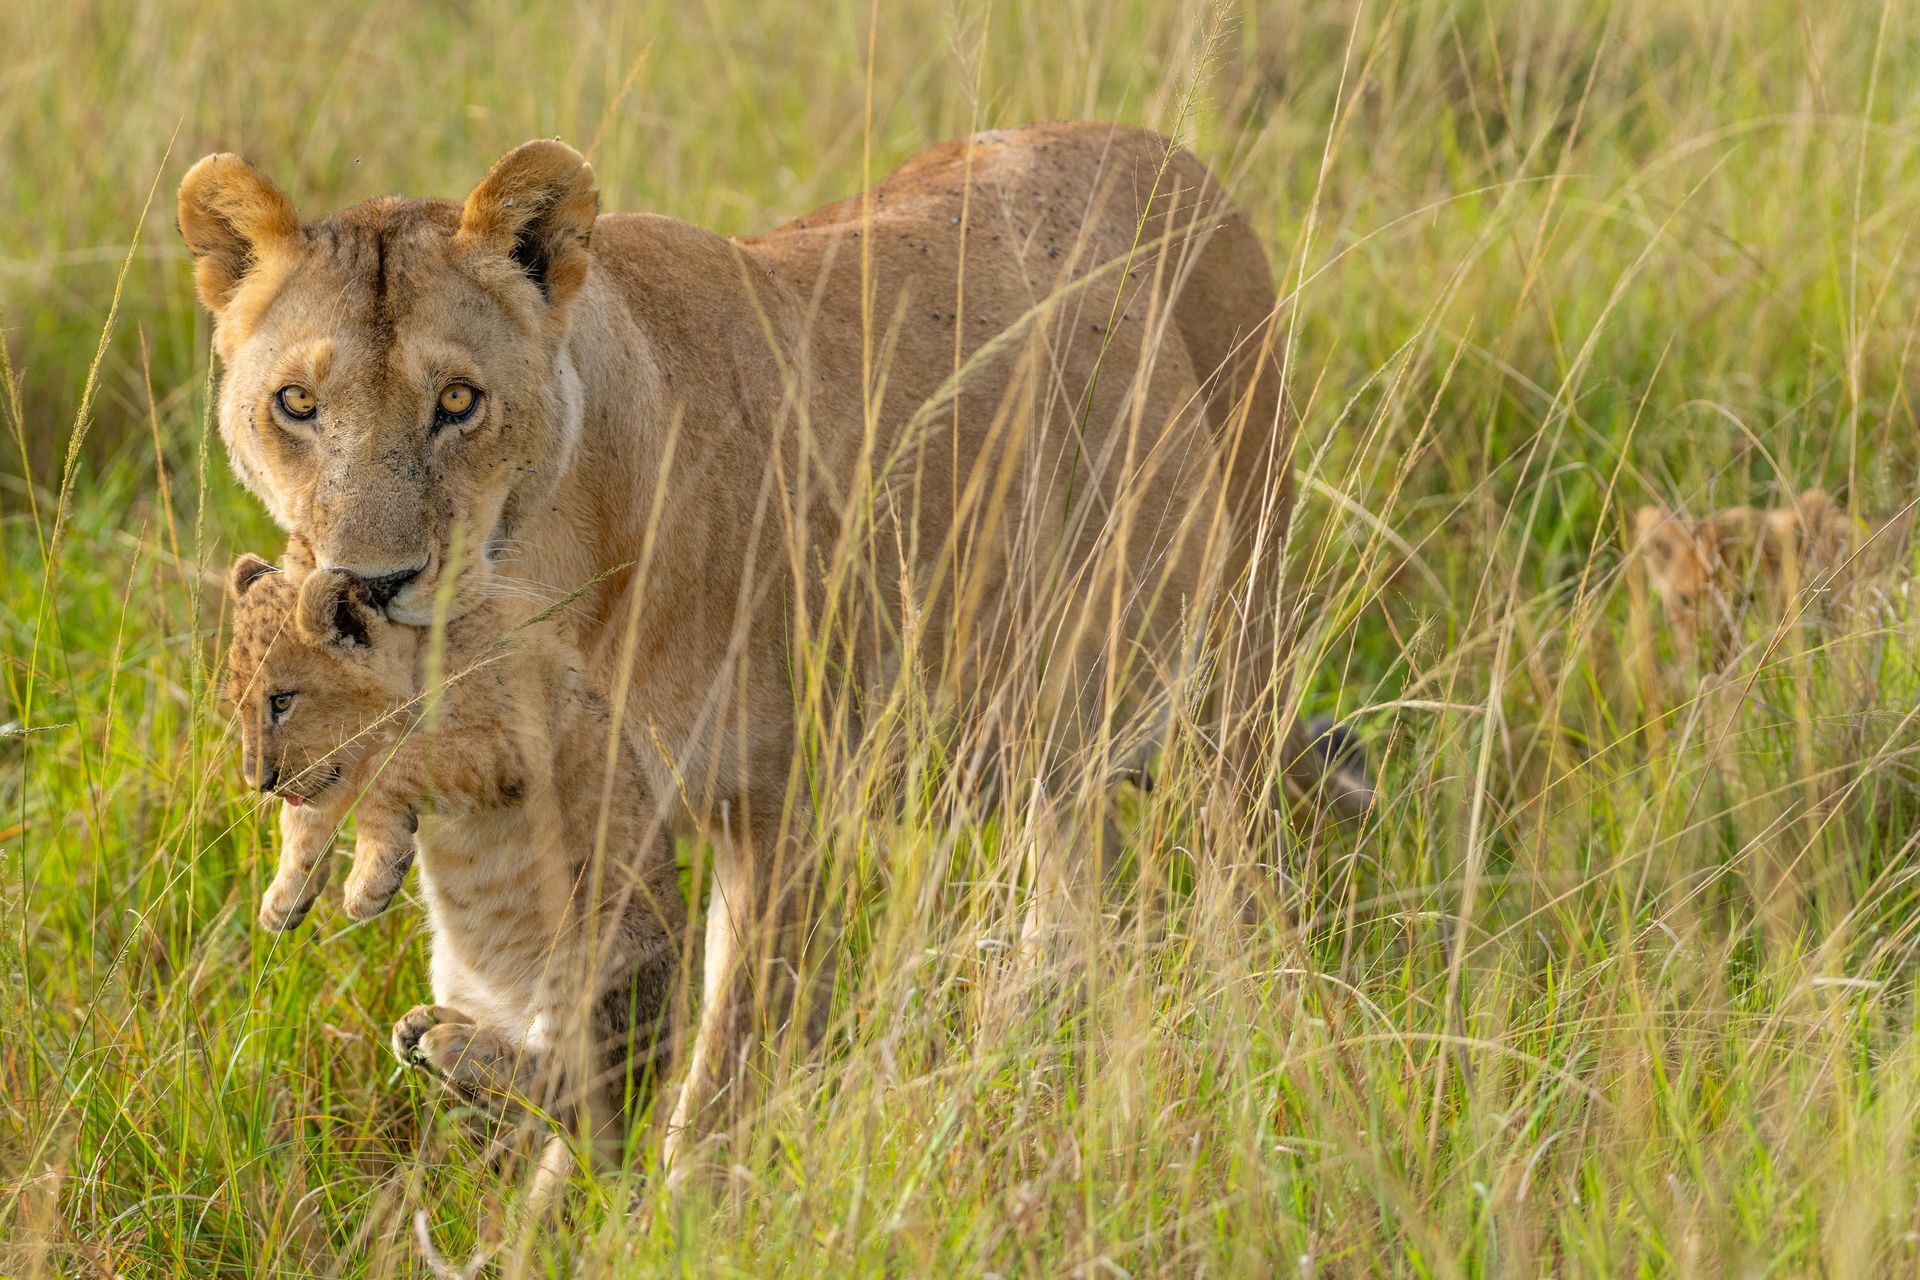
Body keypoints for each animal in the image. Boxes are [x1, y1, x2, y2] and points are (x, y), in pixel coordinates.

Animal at [223, 552, 684, 1136]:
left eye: (282, 700)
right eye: (240, 706)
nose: (257, 782)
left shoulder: (509, 742)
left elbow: (390, 768)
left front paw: (369, 885)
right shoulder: (332, 773)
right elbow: (306, 814)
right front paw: (284, 899)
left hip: (593, 953)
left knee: (561, 1094)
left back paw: (453, 1045)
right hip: (449, 962)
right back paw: (424, 1030)